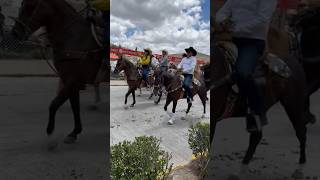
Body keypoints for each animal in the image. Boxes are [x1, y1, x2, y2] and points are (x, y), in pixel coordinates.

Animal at [10, 0, 107, 144]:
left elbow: (54, 104)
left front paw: (50, 133)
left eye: (30, 6)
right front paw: (74, 132)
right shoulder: (70, 81)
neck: (74, 38)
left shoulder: (73, 81)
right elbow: (74, 106)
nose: (15, 33)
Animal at [205, 20, 308, 169]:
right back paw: (245, 162)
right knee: (256, 136)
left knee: (301, 131)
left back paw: (302, 162)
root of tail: (294, 61)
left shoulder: (213, 120)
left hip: (293, 104)